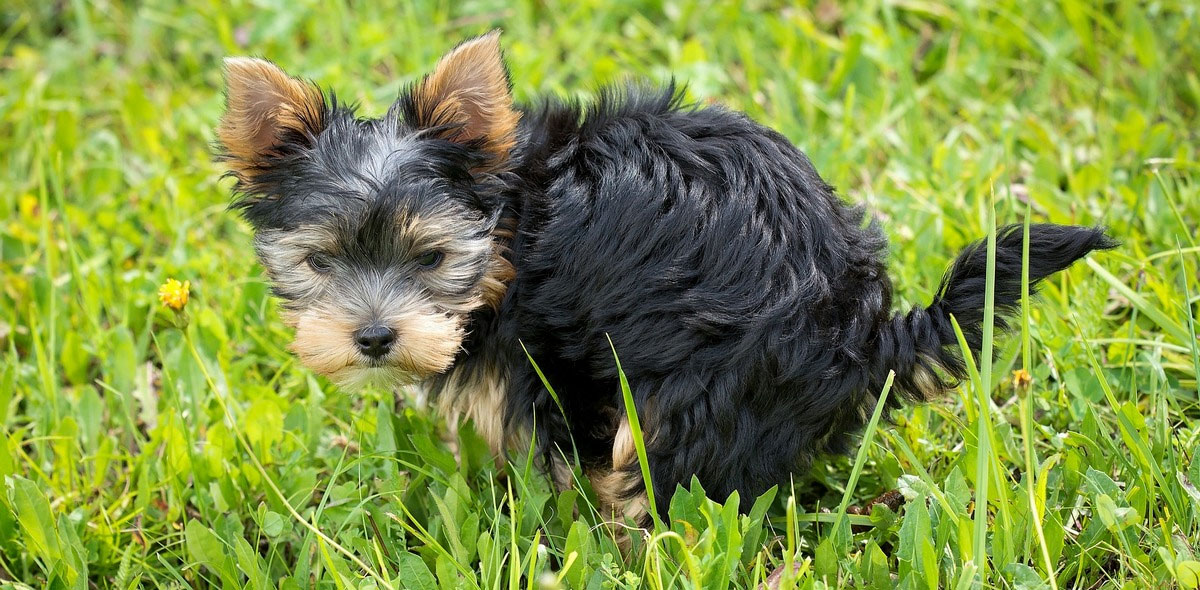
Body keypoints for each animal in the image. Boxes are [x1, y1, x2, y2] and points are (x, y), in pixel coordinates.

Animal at [216, 32, 1113, 527]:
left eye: (431, 259)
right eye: (321, 261)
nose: (373, 337)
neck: (511, 227)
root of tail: (865, 330)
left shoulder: (548, 359)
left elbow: (550, 449)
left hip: (705, 383)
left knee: (664, 472)